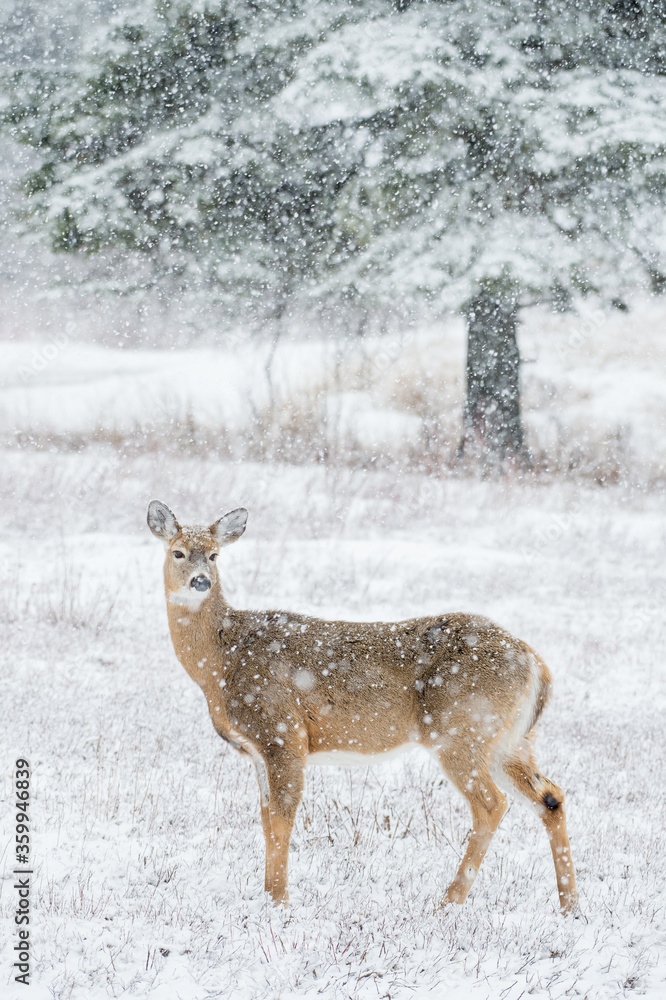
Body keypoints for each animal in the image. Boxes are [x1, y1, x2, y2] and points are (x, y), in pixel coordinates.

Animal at [147, 500, 578, 914]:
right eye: (178, 552)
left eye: (215, 555)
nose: (200, 581)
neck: (221, 662)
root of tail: (536, 664)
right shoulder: (256, 750)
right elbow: (266, 819)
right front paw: (267, 895)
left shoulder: (284, 733)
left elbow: (283, 818)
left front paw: (279, 902)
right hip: (510, 739)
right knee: (551, 796)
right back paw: (570, 906)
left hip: (461, 730)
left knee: (492, 804)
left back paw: (447, 904)